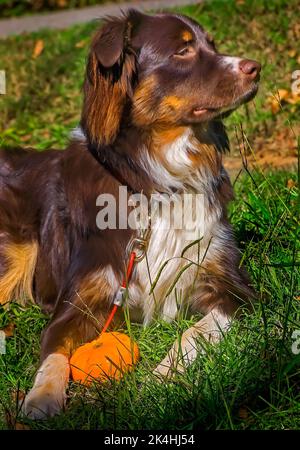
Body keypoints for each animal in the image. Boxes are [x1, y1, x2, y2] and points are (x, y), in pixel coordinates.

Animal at [0, 9, 258, 418]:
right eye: (183, 50)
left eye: (212, 44)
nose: (255, 68)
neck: (157, 182)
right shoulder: (76, 303)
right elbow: (54, 350)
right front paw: (41, 398)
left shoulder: (234, 290)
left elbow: (193, 333)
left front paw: (160, 380)